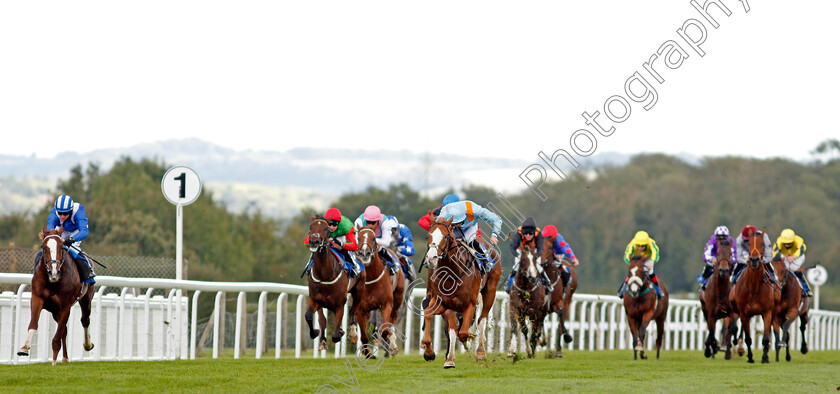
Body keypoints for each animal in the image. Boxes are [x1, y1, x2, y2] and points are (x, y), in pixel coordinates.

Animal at [17, 226, 94, 364]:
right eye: (43, 247)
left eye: (61, 246)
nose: (54, 272)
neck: (53, 282)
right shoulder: (37, 298)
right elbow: (33, 324)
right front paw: (24, 348)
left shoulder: (65, 306)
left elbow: (57, 337)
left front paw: (53, 361)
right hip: (54, 310)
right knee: (64, 329)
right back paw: (65, 357)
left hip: (86, 299)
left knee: (84, 320)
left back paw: (87, 345)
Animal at [306, 217, 364, 352]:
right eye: (311, 227)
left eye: (326, 228)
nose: (314, 241)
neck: (324, 274)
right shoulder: (315, 299)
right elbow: (310, 317)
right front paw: (316, 333)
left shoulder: (339, 304)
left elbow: (336, 336)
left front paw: (341, 331)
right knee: (322, 319)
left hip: (359, 290)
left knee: (353, 311)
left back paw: (353, 334)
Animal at [352, 225, 406, 358]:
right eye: (358, 238)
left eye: (373, 238)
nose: (364, 253)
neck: (371, 278)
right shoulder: (361, 309)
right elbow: (364, 336)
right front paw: (368, 354)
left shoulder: (386, 305)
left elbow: (385, 330)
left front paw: (389, 342)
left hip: (398, 297)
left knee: (393, 318)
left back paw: (392, 344)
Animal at [424, 217, 502, 368]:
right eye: (429, 235)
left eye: (446, 236)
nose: (431, 258)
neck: (452, 272)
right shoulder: (442, 302)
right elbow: (432, 316)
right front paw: (432, 353)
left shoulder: (470, 303)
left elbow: (463, 332)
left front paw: (468, 342)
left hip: (490, 290)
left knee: (482, 319)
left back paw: (480, 351)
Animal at [728, 228, 780, 364]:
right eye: (749, 244)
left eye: (762, 244)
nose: (755, 260)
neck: (754, 287)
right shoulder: (743, 312)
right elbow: (748, 338)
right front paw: (750, 357)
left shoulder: (767, 312)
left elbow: (765, 338)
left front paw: (765, 357)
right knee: (737, 327)